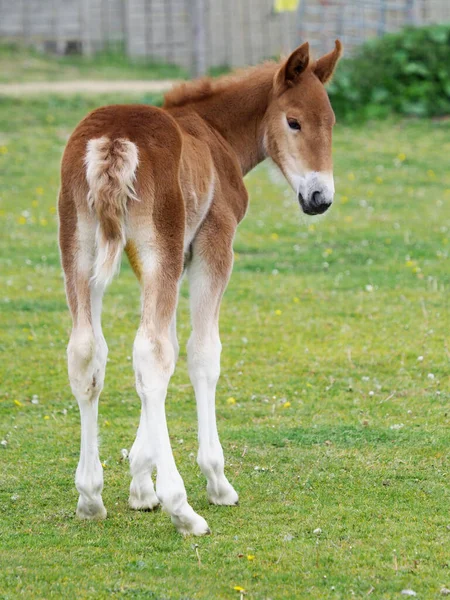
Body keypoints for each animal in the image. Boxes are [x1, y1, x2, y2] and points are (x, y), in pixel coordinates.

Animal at [59, 39, 342, 536]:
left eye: (331, 123)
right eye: (293, 121)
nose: (319, 198)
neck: (213, 133)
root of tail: (112, 140)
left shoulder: (152, 264)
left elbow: (167, 345)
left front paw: (140, 484)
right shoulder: (212, 245)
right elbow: (200, 354)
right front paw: (213, 480)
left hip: (81, 253)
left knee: (89, 353)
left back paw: (90, 497)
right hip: (160, 249)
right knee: (149, 355)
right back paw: (184, 509)